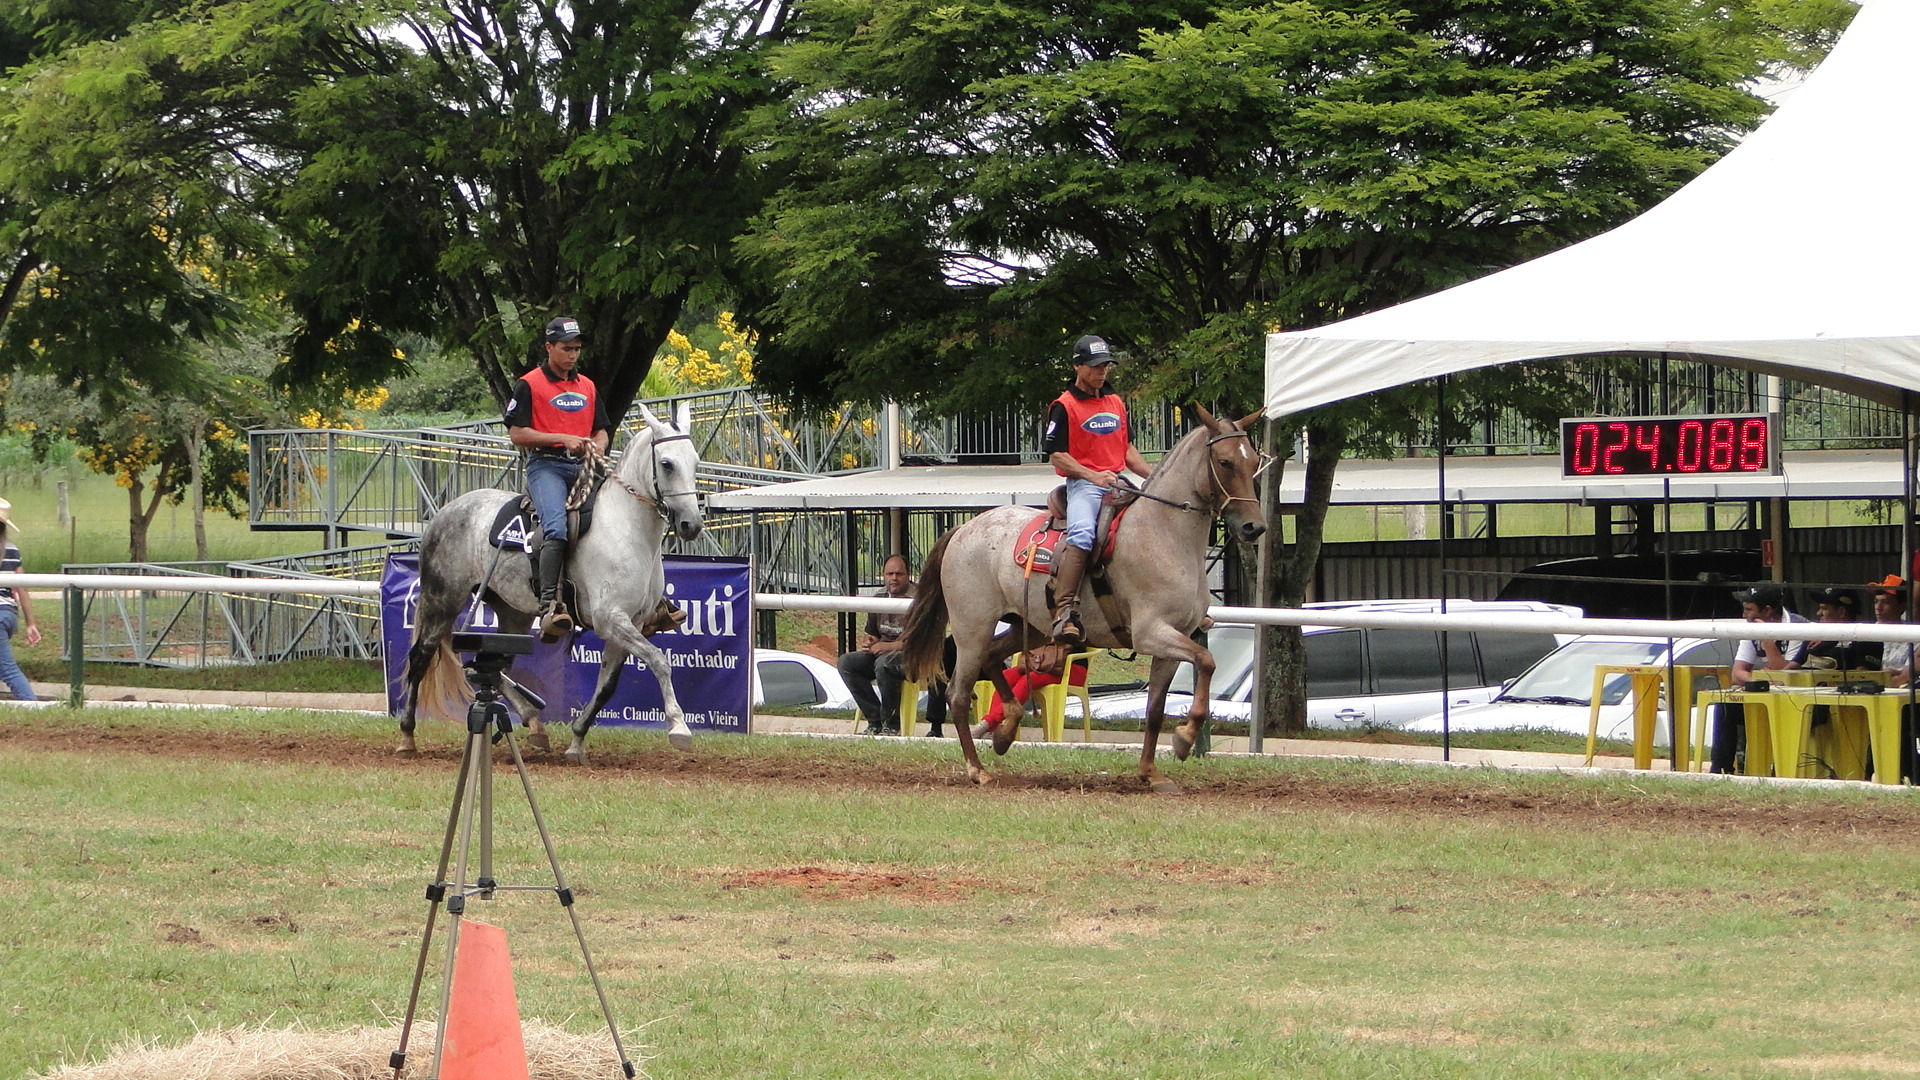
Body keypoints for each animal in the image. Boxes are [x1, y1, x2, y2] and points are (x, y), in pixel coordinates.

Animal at [399, 404, 705, 763]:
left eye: (695, 461)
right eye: (667, 464)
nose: (691, 524)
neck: (626, 528)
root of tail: (445, 513)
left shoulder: (633, 622)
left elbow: (606, 687)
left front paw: (576, 742)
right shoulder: (610, 619)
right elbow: (659, 661)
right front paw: (679, 727)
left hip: (512, 614)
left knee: (491, 666)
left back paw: (534, 724)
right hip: (442, 601)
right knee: (421, 657)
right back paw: (407, 737)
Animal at [900, 404, 1267, 791]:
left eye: (1253, 460)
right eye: (1225, 462)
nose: (1254, 527)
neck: (1163, 534)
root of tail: (963, 528)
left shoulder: (1173, 640)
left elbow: (1156, 708)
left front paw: (1150, 772)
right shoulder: (1151, 633)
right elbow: (1207, 661)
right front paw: (1184, 739)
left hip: (1030, 628)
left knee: (994, 657)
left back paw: (1006, 729)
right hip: (972, 630)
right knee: (957, 694)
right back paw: (978, 769)